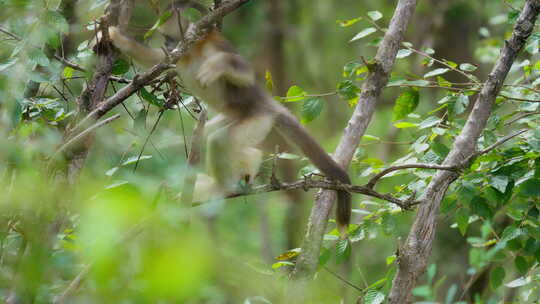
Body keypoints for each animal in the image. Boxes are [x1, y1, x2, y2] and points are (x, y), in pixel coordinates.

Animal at [105, 0, 352, 235]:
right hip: (234, 115)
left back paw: (223, 187)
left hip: (258, 120)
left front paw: (218, 66)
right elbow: (155, 59)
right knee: (211, 134)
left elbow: (244, 73)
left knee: (220, 139)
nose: (167, 45)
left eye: (170, 37)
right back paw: (248, 164)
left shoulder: (212, 47)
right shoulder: (178, 57)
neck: (193, 53)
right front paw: (118, 38)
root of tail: (266, 104)